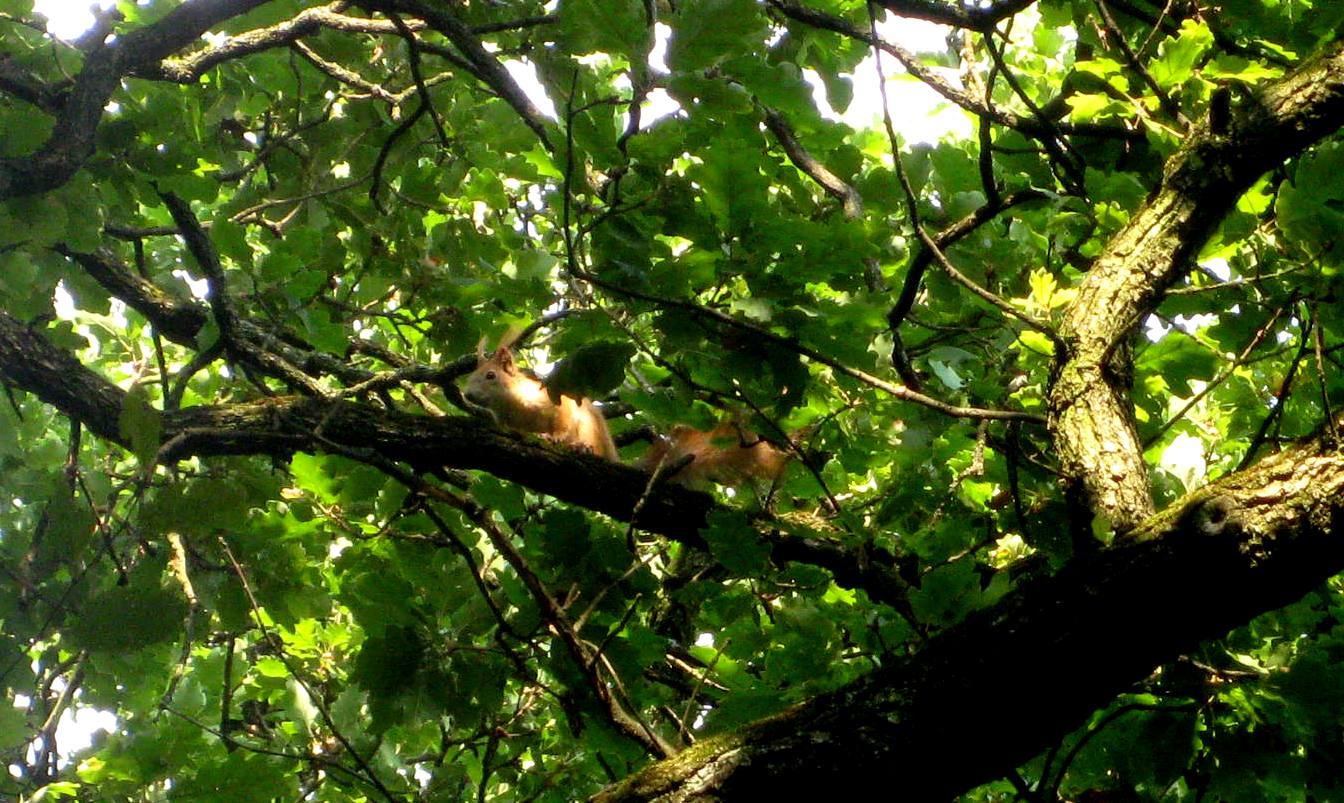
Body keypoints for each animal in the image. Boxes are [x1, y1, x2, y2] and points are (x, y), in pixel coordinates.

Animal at [462, 340, 618, 457]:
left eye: (490, 375)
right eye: (469, 378)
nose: (468, 394)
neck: (509, 405)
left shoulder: (554, 398)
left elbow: (563, 419)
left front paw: (557, 436)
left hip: (590, 428)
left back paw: (583, 447)